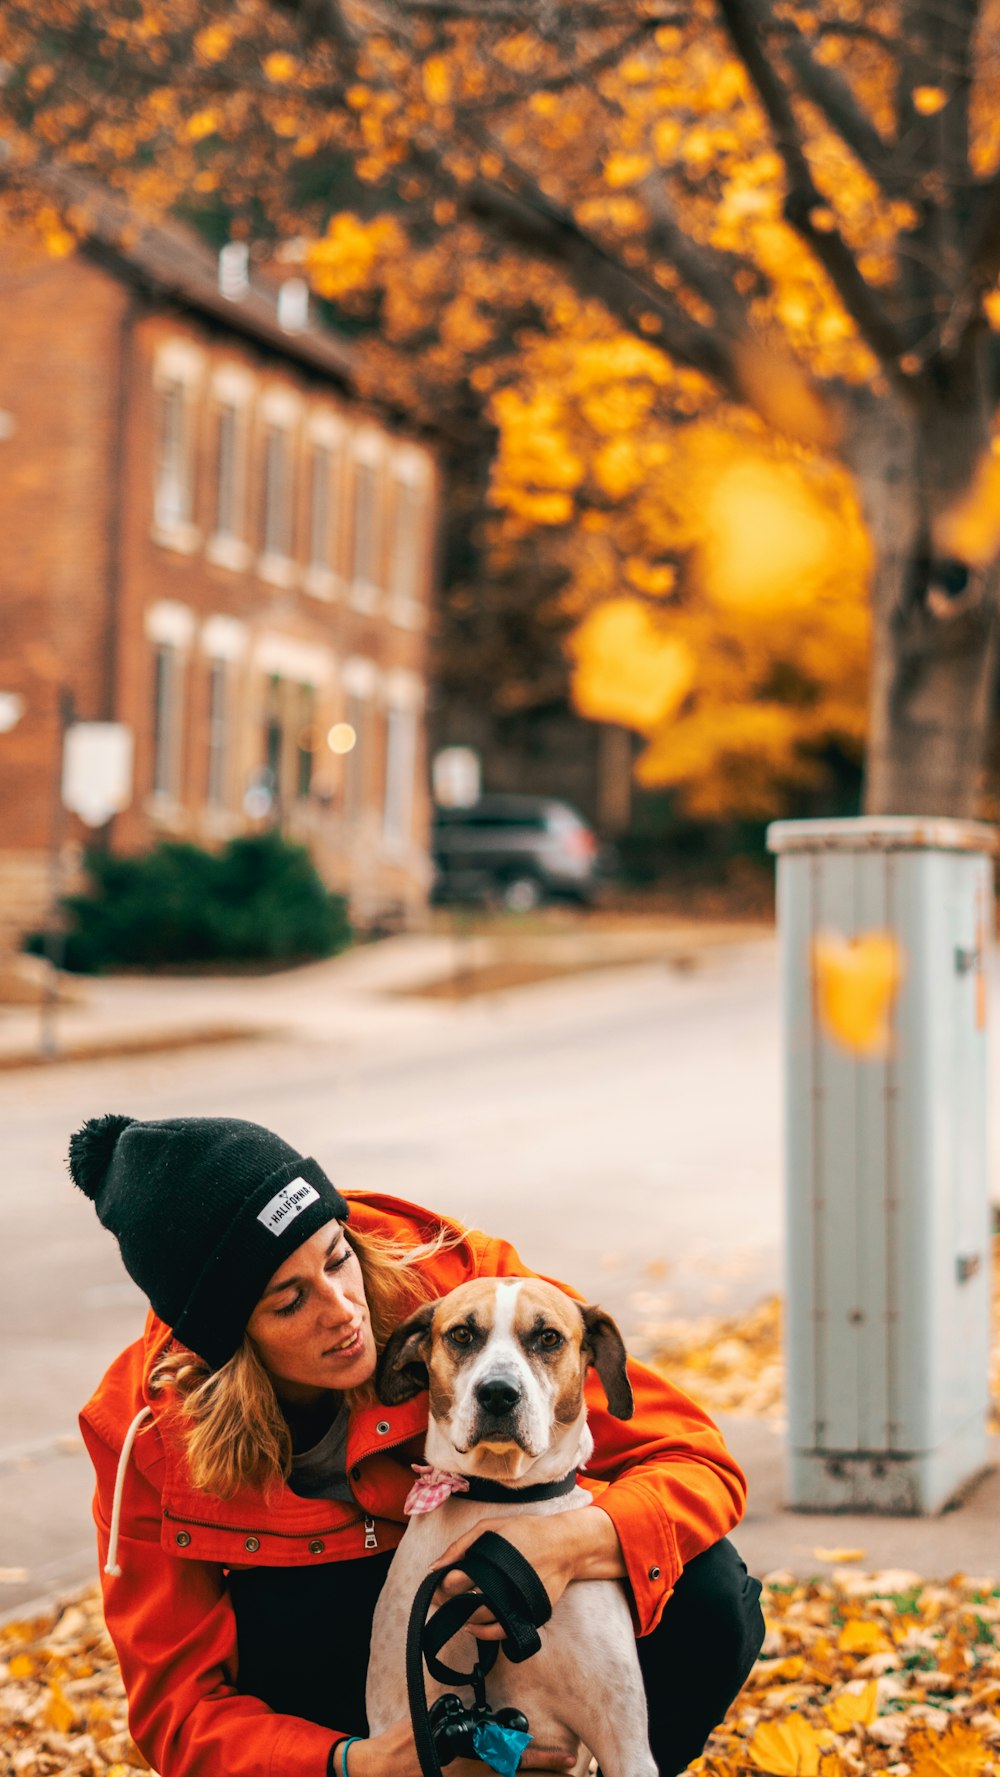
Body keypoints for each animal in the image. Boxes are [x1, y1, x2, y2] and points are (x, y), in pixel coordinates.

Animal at [364, 1279, 660, 1777]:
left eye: (548, 1338)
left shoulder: (627, 1747)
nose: (499, 1393)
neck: (499, 1500)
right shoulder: (401, 1721)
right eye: (462, 1334)